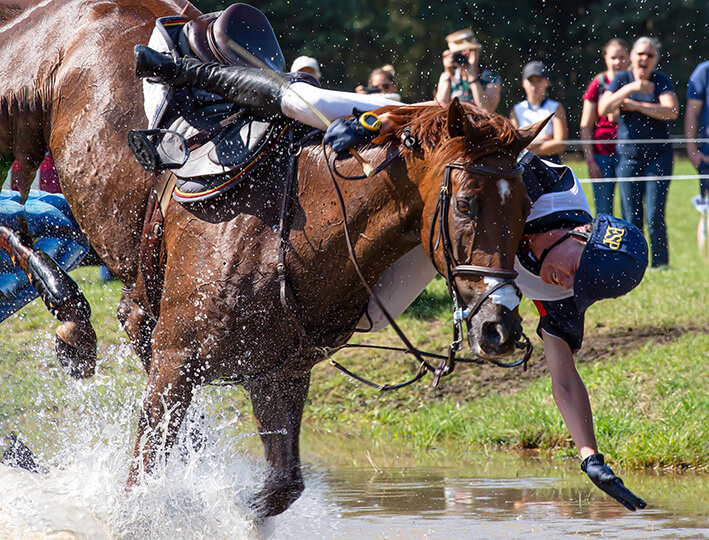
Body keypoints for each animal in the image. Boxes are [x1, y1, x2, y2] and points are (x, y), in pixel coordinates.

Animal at [0, 0, 544, 516]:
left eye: (525, 209)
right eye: (467, 204)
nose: (500, 329)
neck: (293, 234)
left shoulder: (277, 372)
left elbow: (281, 487)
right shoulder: (176, 358)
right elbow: (140, 481)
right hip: (13, 111)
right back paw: (70, 315)